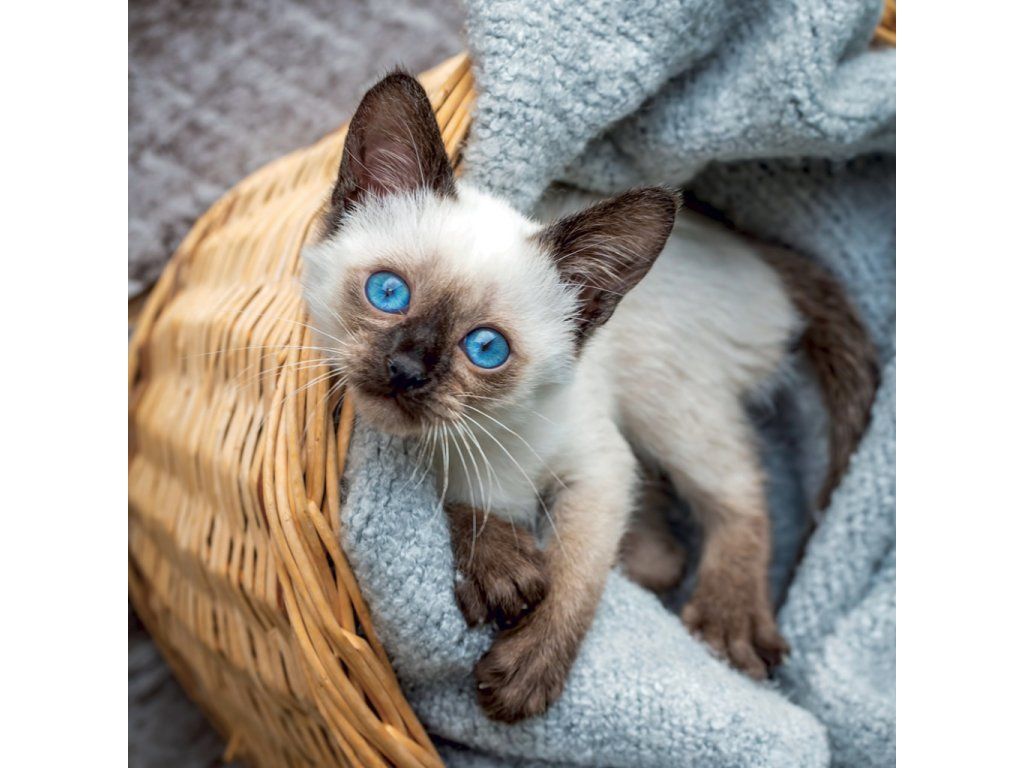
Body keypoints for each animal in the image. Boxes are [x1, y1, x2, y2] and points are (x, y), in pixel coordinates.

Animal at [302, 71, 878, 723]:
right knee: (667, 544)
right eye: (388, 293)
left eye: (486, 349)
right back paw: (651, 562)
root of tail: (754, 253)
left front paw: (525, 673)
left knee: (741, 489)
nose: (405, 371)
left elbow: (574, 574)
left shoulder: (600, 466)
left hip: (659, 400)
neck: (472, 440)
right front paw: (503, 571)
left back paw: (728, 625)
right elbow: (463, 507)